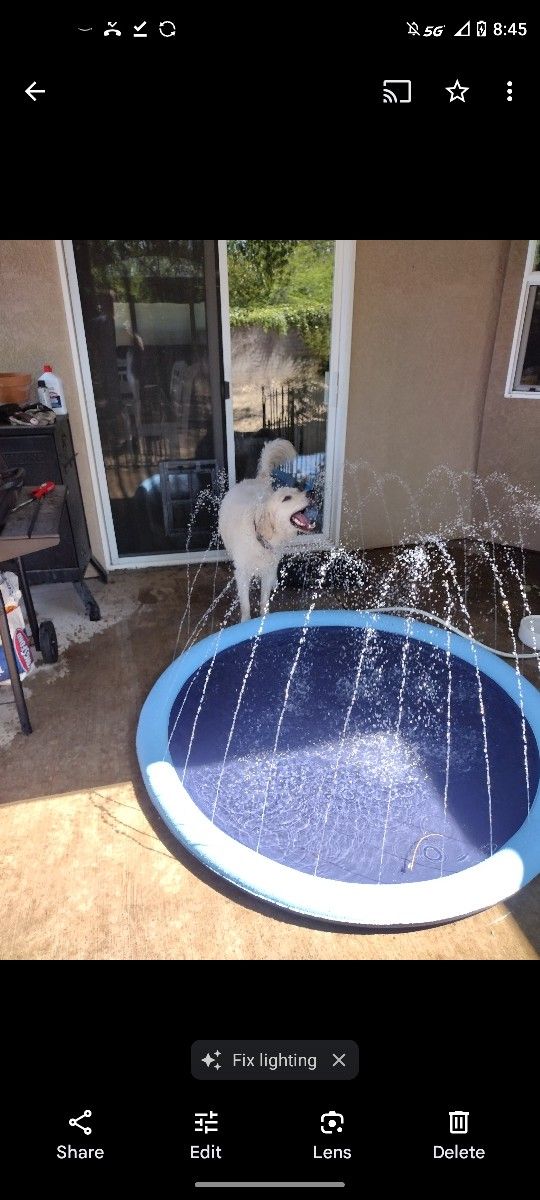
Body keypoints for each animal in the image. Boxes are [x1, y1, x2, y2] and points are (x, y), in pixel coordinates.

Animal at [217, 441, 314, 628]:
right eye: (286, 498)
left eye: (297, 491)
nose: (311, 492)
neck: (260, 538)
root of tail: (257, 479)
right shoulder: (242, 573)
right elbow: (245, 604)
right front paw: (245, 623)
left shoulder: (267, 568)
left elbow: (264, 600)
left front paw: (264, 620)